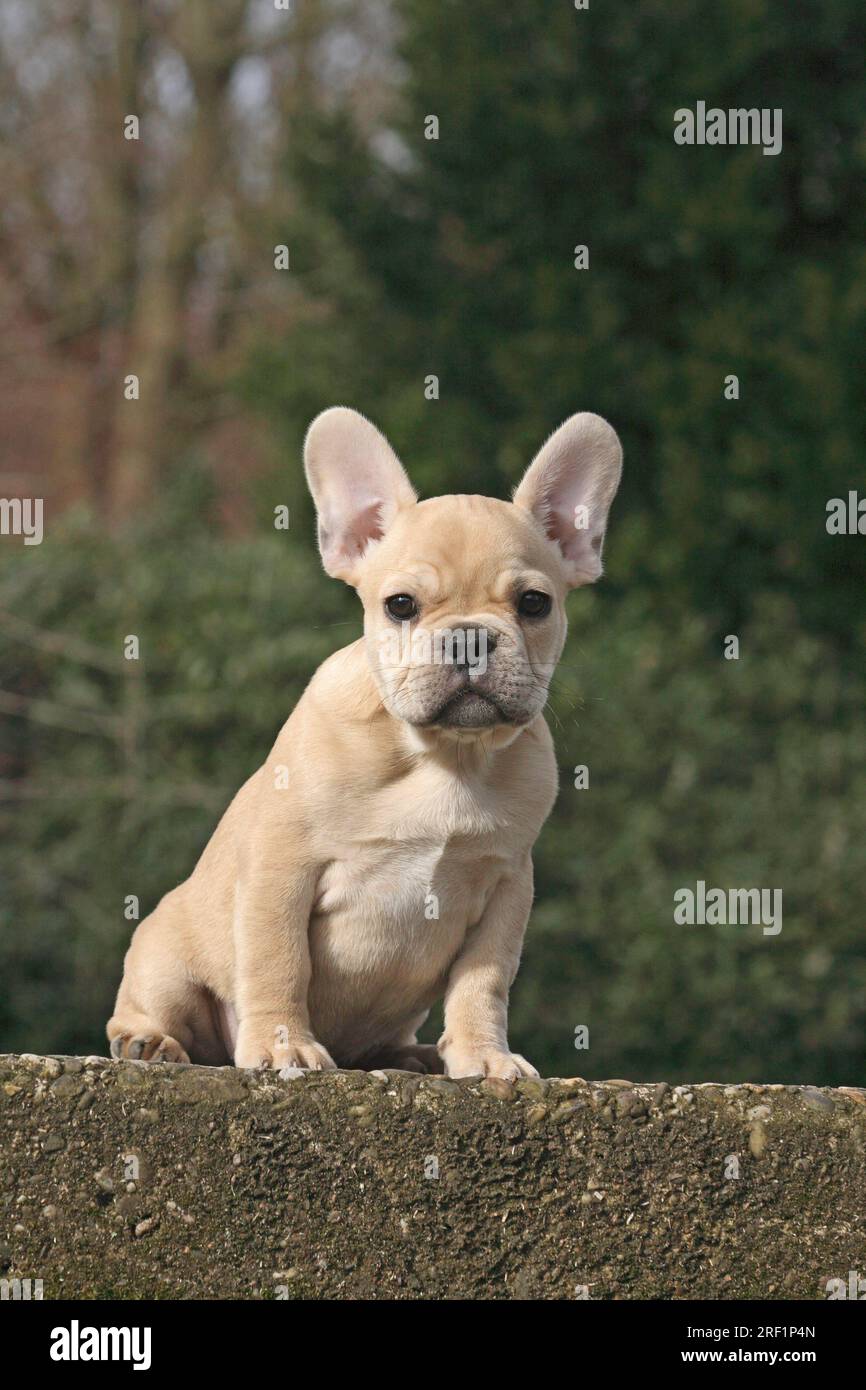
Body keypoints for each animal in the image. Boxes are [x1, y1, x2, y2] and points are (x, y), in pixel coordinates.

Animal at [108, 405, 622, 1078]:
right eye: (400, 605)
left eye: (534, 604)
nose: (468, 637)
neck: (444, 756)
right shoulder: (281, 869)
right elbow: (278, 963)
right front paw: (283, 1046)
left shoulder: (507, 887)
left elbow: (482, 982)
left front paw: (484, 1055)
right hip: (166, 956)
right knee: (155, 1008)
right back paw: (149, 1043)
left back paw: (416, 1055)